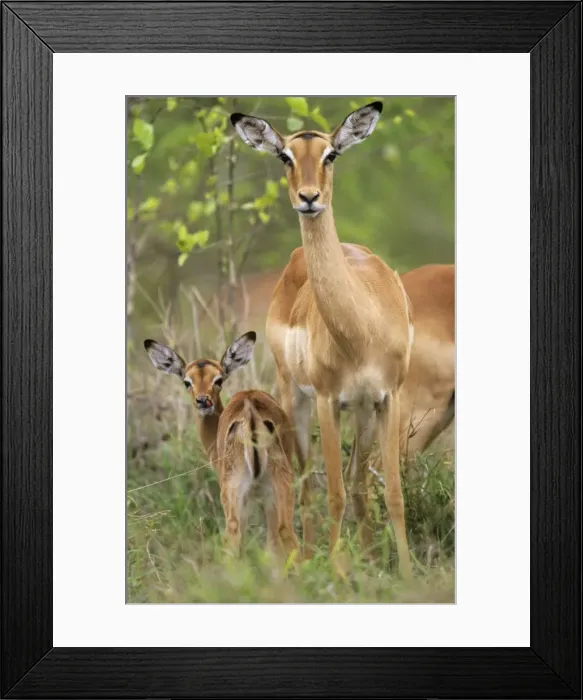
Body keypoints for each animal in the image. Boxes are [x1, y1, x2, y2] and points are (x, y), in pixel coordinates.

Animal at [143, 332, 299, 560]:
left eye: (218, 379)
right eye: (187, 381)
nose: (203, 401)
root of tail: (250, 410)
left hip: (235, 494)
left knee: (234, 536)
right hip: (280, 489)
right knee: (286, 534)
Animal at [232, 102, 414, 577]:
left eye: (331, 154)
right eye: (285, 157)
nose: (309, 198)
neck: (361, 328)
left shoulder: (388, 398)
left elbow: (391, 492)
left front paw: (406, 573)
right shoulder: (328, 401)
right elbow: (332, 493)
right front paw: (336, 573)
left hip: (362, 412)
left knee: (357, 482)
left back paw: (364, 557)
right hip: (293, 398)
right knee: (306, 482)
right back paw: (308, 560)